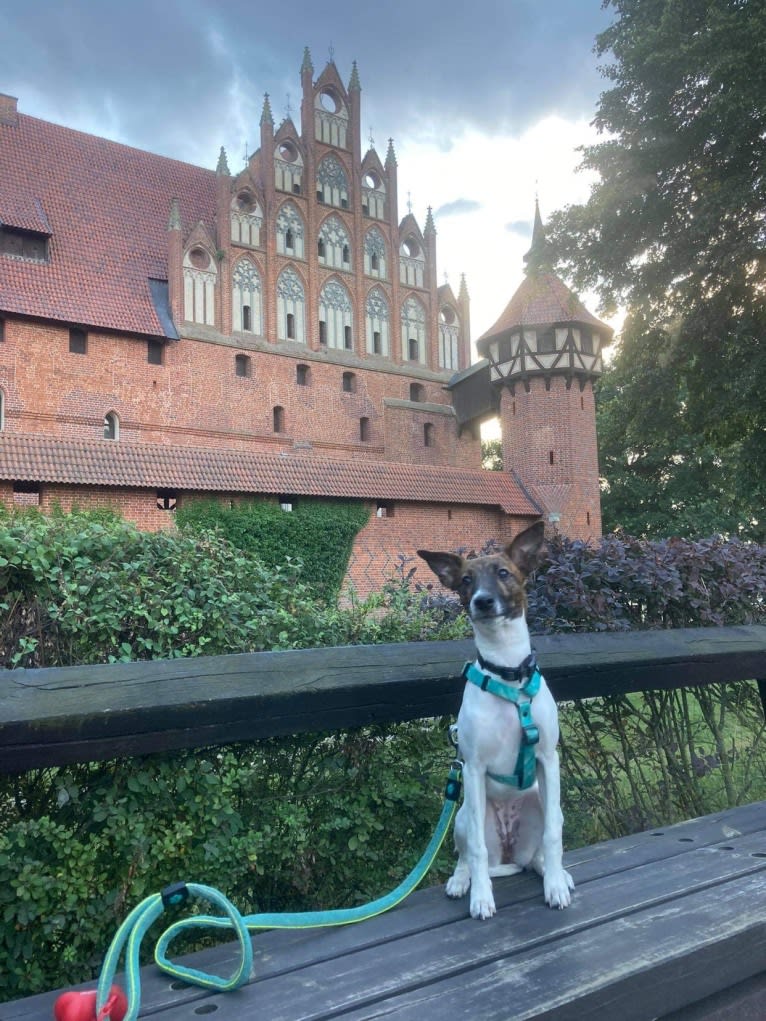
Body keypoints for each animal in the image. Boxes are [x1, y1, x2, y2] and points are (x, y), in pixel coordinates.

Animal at [420, 522, 576, 922]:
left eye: (504, 573)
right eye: (465, 581)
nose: (483, 601)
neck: (508, 675)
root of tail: (508, 851)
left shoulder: (548, 759)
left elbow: (554, 835)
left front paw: (555, 885)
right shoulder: (472, 768)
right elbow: (475, 849)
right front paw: (480, 897)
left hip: (540, 802)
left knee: (538, 849)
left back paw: (550, 870)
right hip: (461, 814)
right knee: (468, 853)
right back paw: (462, 881)